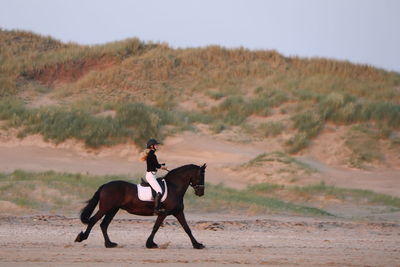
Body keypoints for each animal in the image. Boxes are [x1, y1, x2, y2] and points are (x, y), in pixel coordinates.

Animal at [74, 164, 206, 250]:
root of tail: (105, 185)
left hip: (113, 210)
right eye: (201, 175)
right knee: (93, 221)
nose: (201, 193)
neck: (174, 187)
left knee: (103, 224)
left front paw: (197, 245)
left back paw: (109, 244)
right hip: (105, 208)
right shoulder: (163, 213)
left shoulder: (178, 212)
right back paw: (81, 238)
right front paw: (150, 244)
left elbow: (187, 228)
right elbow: (155, 227)